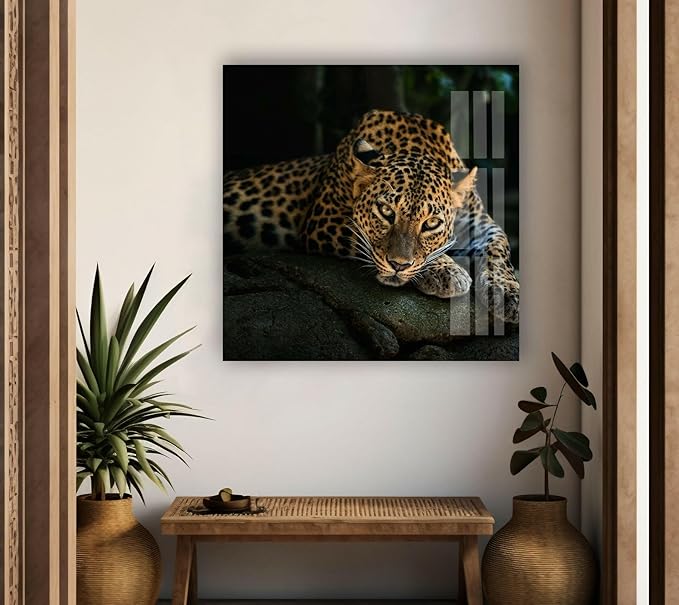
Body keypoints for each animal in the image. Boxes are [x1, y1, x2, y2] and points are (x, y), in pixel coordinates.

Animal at [223, 109, 519, 324]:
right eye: (386, 212)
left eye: (431, 223)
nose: (398, 265)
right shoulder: (324, 219)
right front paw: (447, 271)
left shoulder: (478, 222)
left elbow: (498, 245)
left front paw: (507, 294)